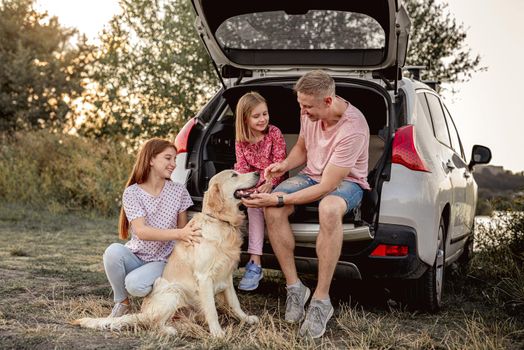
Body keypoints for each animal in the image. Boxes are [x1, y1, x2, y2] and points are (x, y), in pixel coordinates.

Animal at [72, 170, 260, 336]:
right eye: (234, 175)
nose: (258, 173)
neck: (221, 222)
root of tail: (144, 312)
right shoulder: (204, 277)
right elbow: (211, 309)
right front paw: (217, 333)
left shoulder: (226, 276)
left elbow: (235, 303)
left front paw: (246, 318)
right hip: (174, 291)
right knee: (154, 323)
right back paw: (170, 330)